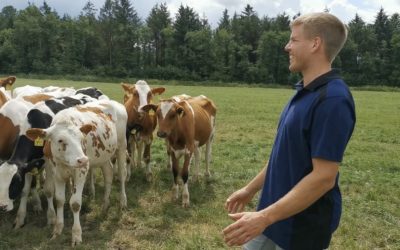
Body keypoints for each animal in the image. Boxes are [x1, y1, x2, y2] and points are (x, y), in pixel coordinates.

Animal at [25, 99, 126, 246]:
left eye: (81, 139)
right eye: (60, 140)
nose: (83, 159)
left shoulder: (81, 172)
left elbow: (75, 203)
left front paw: (76, 235)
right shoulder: (57, 174)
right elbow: (59, 200)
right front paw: (57, 229)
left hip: (122, 146)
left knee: (122, 175)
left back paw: (123, 201)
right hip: (104, 157)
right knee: (108, 174)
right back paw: (105, 205)